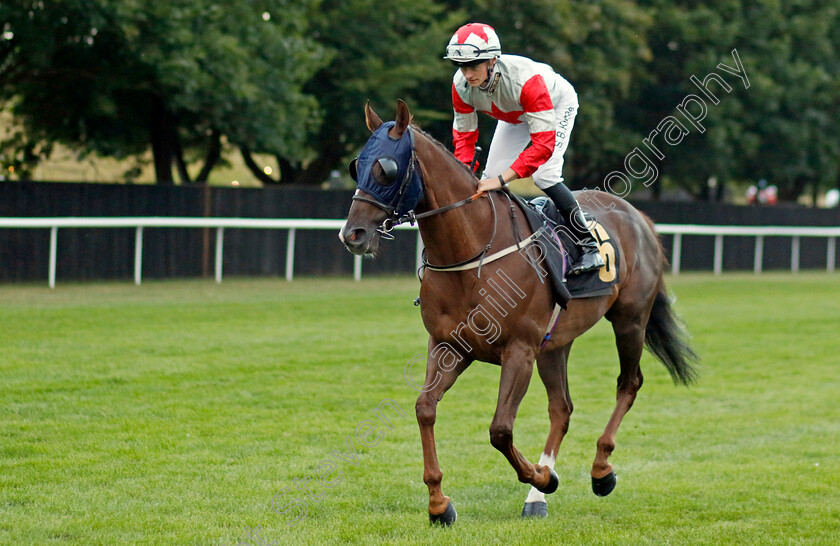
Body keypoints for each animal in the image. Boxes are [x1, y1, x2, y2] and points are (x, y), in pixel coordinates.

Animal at [338, 101, 700, 524]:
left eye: (386, 168)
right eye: (357, 165)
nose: (353, 234)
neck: (472, 251)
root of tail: (639, 217)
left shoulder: (520, 349)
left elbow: (500, 429)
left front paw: (545, 477)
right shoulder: (449, 346)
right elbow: (425, 409)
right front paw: (439, 503)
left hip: (629, 320)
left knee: (629, 383)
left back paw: (600, 470)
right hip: (556, 342)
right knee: (562, 408)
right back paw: (536, 498)